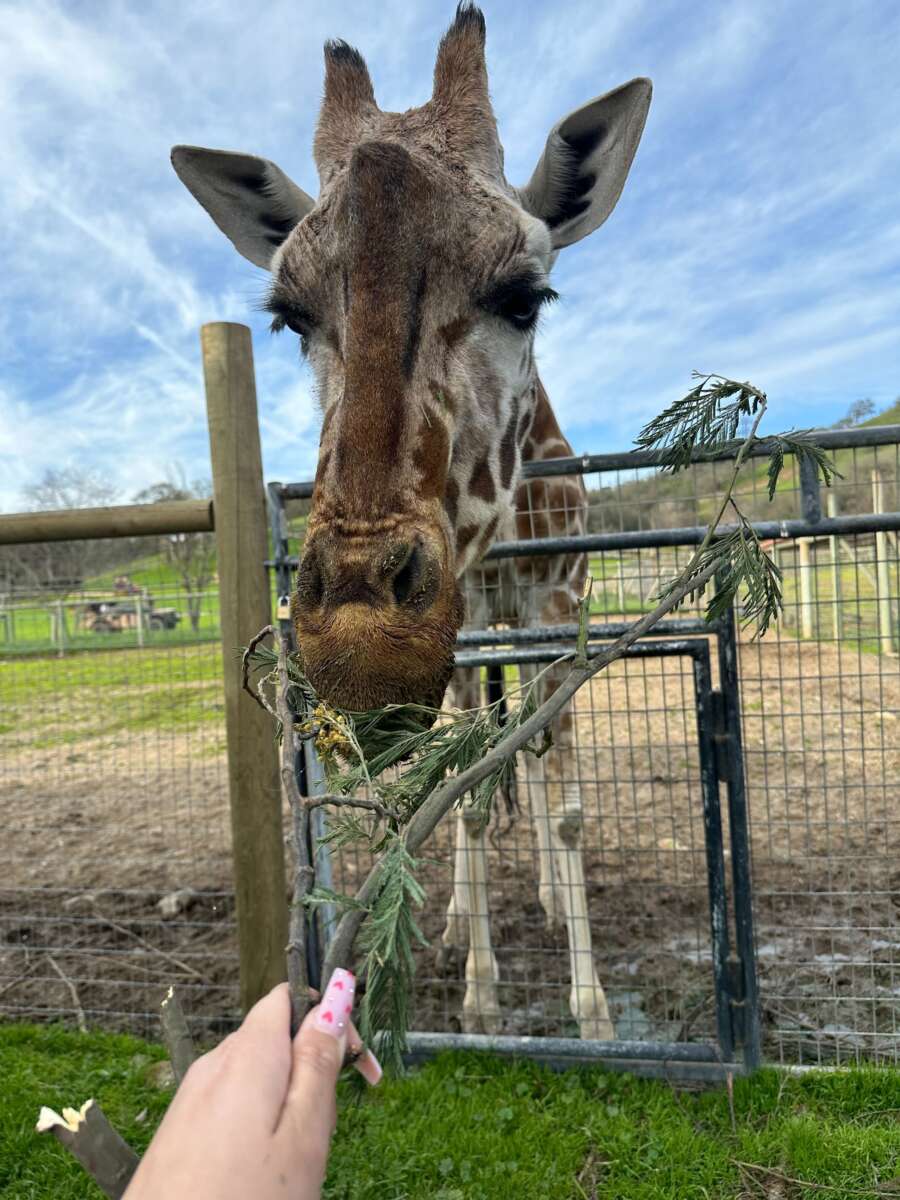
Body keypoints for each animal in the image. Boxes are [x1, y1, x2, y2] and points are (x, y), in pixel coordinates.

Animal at [172, 3, 651, 1040]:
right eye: (288, 316)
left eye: (527, 294)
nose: (360, 642)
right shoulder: (464, 625)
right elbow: (465, 794)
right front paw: (480, 996)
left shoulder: (559, 609)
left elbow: (562, 802)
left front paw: (591, 1007)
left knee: (537, 762)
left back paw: (545, 898)